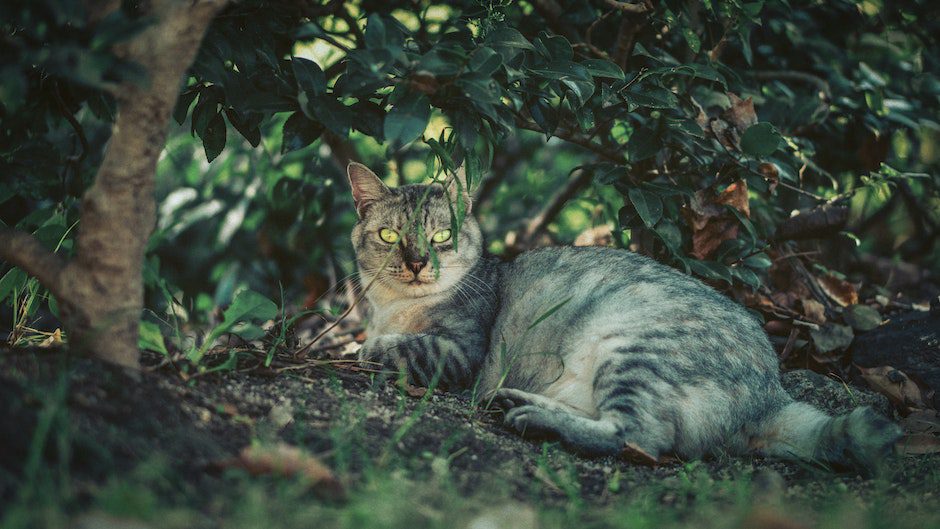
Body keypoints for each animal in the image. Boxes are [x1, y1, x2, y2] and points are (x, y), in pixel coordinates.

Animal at [346, 162, 904, 474]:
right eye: (390, 236)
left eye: (440, 236)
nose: (417, 262)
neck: (395, 307)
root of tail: (771, 393)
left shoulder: (460, 349)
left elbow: (395, 348)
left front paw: (367, 348)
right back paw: (519, 400)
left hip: (633, 351)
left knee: (633, 435)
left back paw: (537, 419)